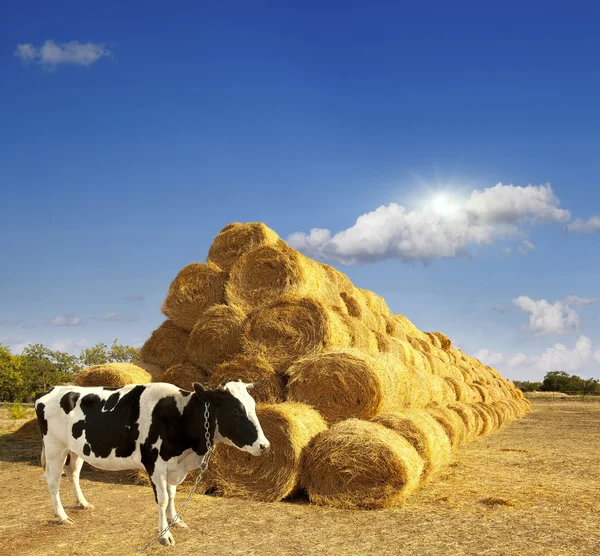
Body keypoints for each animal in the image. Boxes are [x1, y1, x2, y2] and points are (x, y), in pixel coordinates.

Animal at [32, 380, 268, 544]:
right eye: (236, 410)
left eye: (254, 406)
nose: (265, 445)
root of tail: (51, 390)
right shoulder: (155, 464)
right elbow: (162, 500)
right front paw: (165, 535)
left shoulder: (173, 465)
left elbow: (172, 495)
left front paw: (176, 521)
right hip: (55, 447)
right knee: (53, 480)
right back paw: (62, 516)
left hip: (76, 450)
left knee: (72, 474)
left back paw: (83, 503)